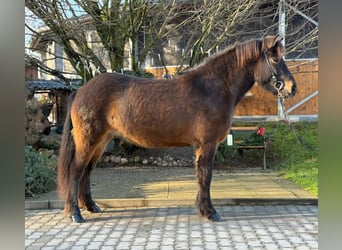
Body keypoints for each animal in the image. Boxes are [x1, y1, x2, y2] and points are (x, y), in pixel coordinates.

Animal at [57, 34, 296, 223]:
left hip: (101, 141)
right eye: (275, 58)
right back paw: (75, 213)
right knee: (76, 170)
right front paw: (210, 212)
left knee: (87, 171)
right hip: (88, 140)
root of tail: (80, 90)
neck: (211, 89)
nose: (292, 88)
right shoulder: (207, 145)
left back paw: (91, 206)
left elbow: (201, 177)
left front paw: (203, 209)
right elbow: (206, 176)